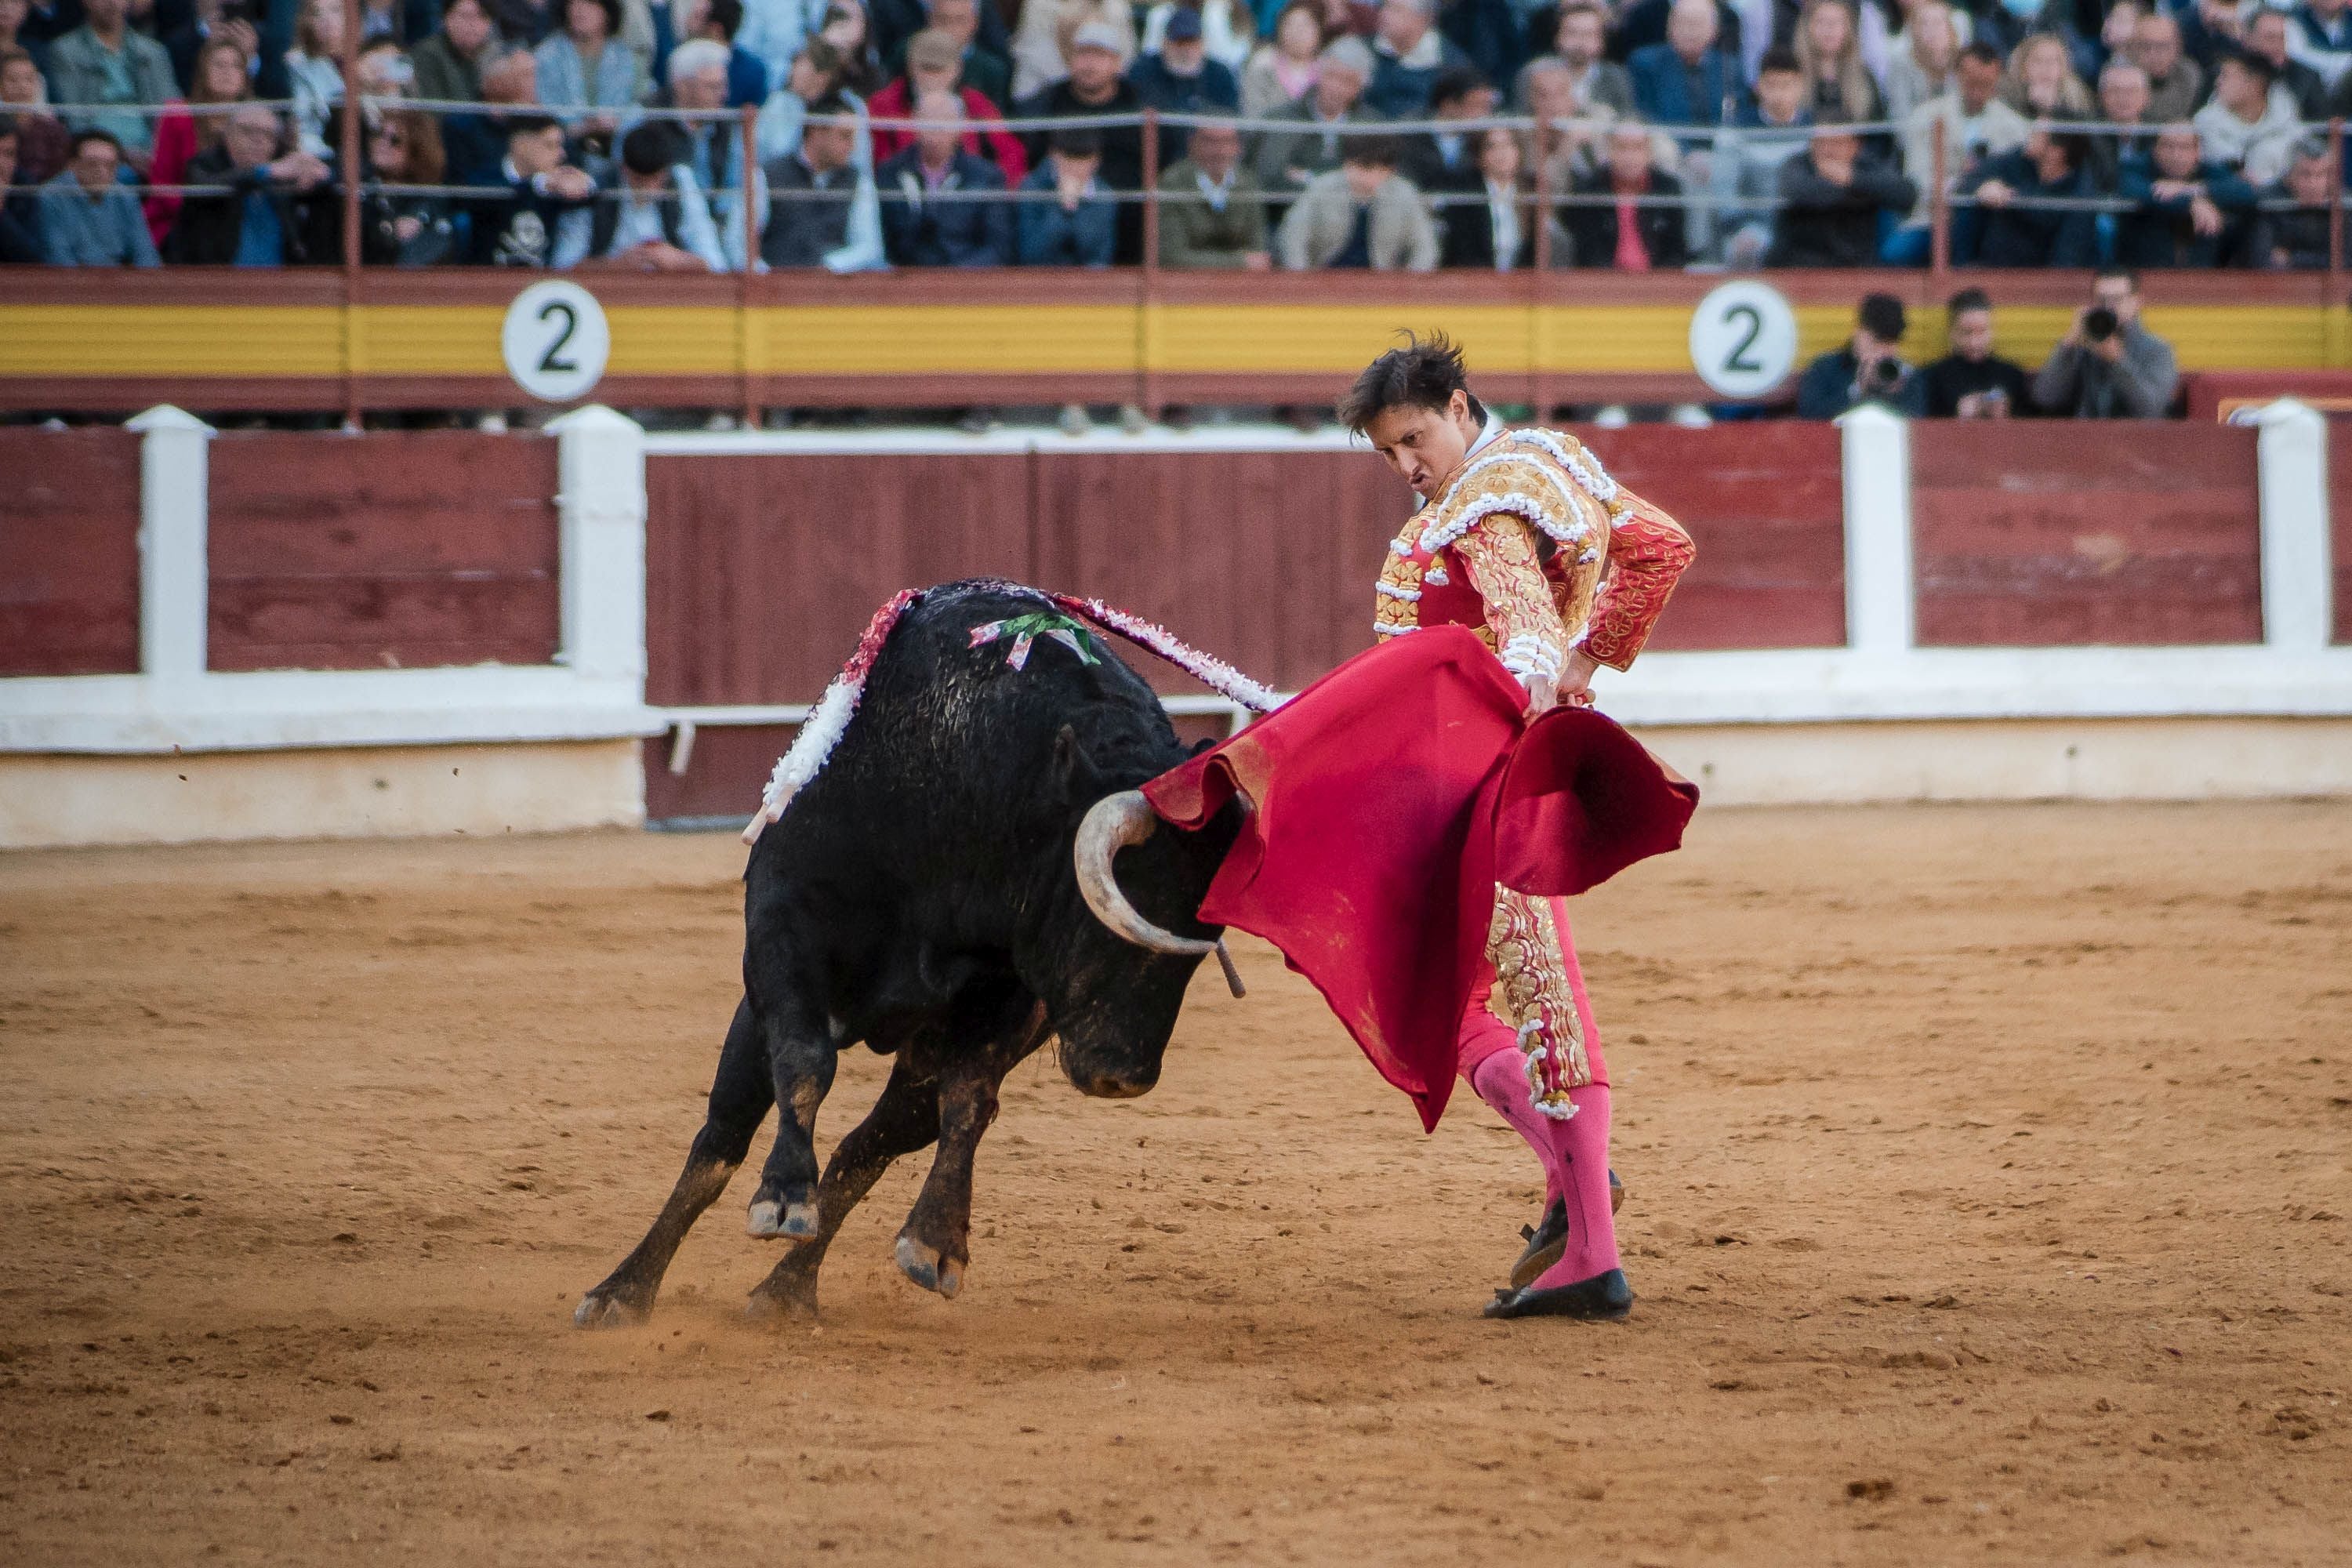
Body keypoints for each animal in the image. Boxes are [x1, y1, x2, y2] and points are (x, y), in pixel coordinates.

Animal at [576, 583, 1242, 1335]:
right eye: (1113, 911)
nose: (1124, 1077)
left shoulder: (1006, 991)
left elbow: (967, 1099)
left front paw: (936, 1242)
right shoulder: (781, 934)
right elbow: (804, 1062)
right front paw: (783, 1197)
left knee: (874, 1142)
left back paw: (785, 1290)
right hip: (753, 1015)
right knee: (721, 1139)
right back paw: (624, 1291)